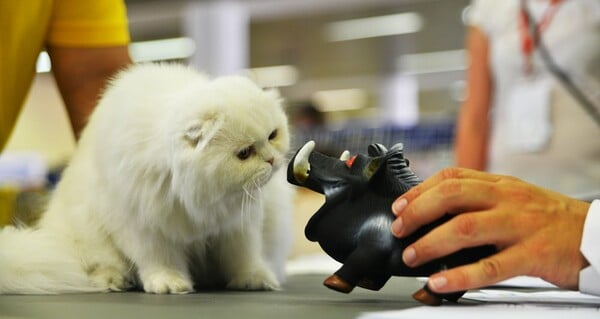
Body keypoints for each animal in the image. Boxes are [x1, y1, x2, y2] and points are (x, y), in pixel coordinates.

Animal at [0, 63, 292, 296]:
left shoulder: (238, 225)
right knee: (99, 266)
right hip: (85, 234)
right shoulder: (143, 227)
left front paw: (255, 279)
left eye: (273, 135)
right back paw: (113, 281)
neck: (199, 198)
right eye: (244, 153)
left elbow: (245, 257)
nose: (271, 160)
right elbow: (159, 260)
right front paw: (170, 284)